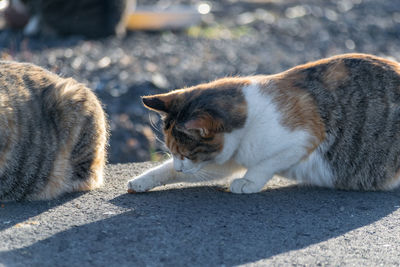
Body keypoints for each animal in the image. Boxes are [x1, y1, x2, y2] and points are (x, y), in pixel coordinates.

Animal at [128, 52, 400, 195]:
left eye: (187, 153)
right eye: (172, 152)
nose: (181, 166)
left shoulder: (306, 137)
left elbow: (265, 163)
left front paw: (248, 181)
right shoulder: (220, 160)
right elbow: (167, 170)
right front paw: (142, 181)